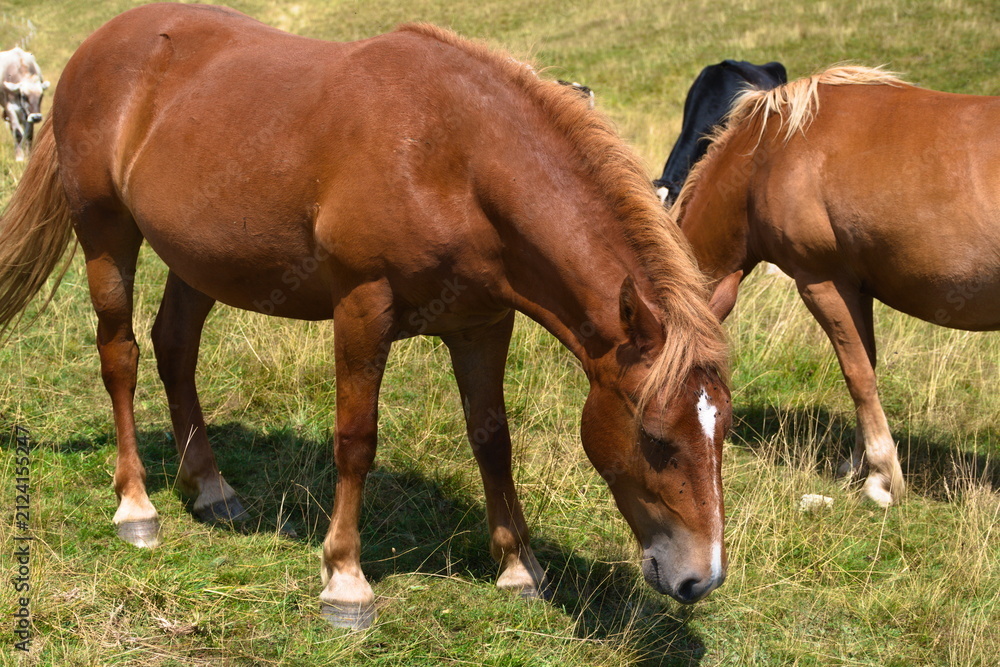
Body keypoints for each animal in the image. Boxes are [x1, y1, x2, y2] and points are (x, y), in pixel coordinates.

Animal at [0, 4, 739, 629]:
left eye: (722, 431)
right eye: (655, 437)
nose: (700, 579)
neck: (453, 157)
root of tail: (95, 48)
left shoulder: (481, 323)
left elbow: (492, 438)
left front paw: (517, 567)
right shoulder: (362, 304)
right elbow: (357, 438)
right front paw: (345, 579)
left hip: (199, 259)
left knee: (174, 348)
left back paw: (209, 487)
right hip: (105, 234)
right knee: (120, 355)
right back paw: (136, 505)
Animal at [672, 64, 1000, 507]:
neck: (767, 156)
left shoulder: (821, 281)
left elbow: (857, 375)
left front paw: (881, 477)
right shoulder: (856, 288)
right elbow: (866, 366)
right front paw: (858, 464)